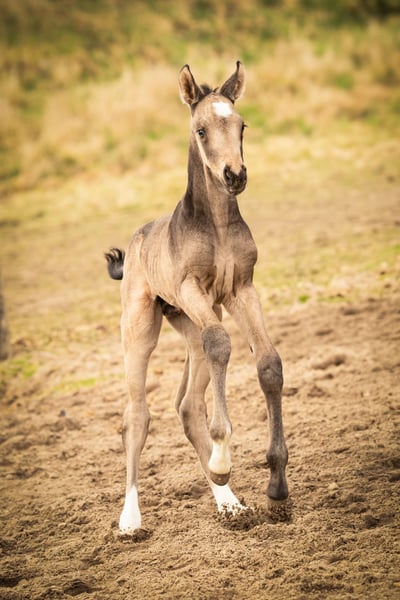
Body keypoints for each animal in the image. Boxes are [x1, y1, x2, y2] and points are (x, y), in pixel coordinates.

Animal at [105, 62, 288, 534]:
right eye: (201, 130)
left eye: (242, 126)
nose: (234, 175)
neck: (217, 226)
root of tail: (136, 240)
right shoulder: (192, 288)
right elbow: (223, 342)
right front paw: (225, 459)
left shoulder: (241, 289)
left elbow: (268, 363)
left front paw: (276, 486)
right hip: (140, 327)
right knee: (137, 414)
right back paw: (131, 518)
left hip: (189, 323)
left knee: (188, 404)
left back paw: (229, 502)